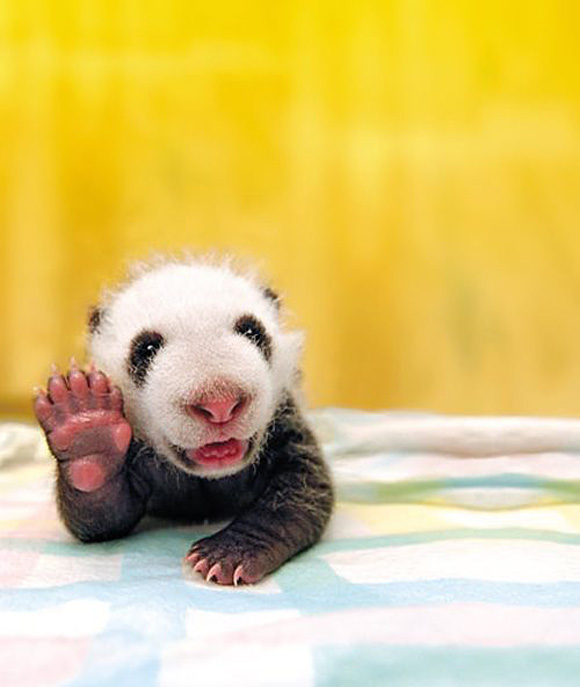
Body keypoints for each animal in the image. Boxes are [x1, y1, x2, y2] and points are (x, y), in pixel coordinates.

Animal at [33, 257, 334, 586]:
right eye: (146, 349)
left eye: (252, 332)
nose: (220, 404)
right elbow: (104, 514)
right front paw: (87, 429)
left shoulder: (284, 420)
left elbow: (301, 492)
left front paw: (228, 554)